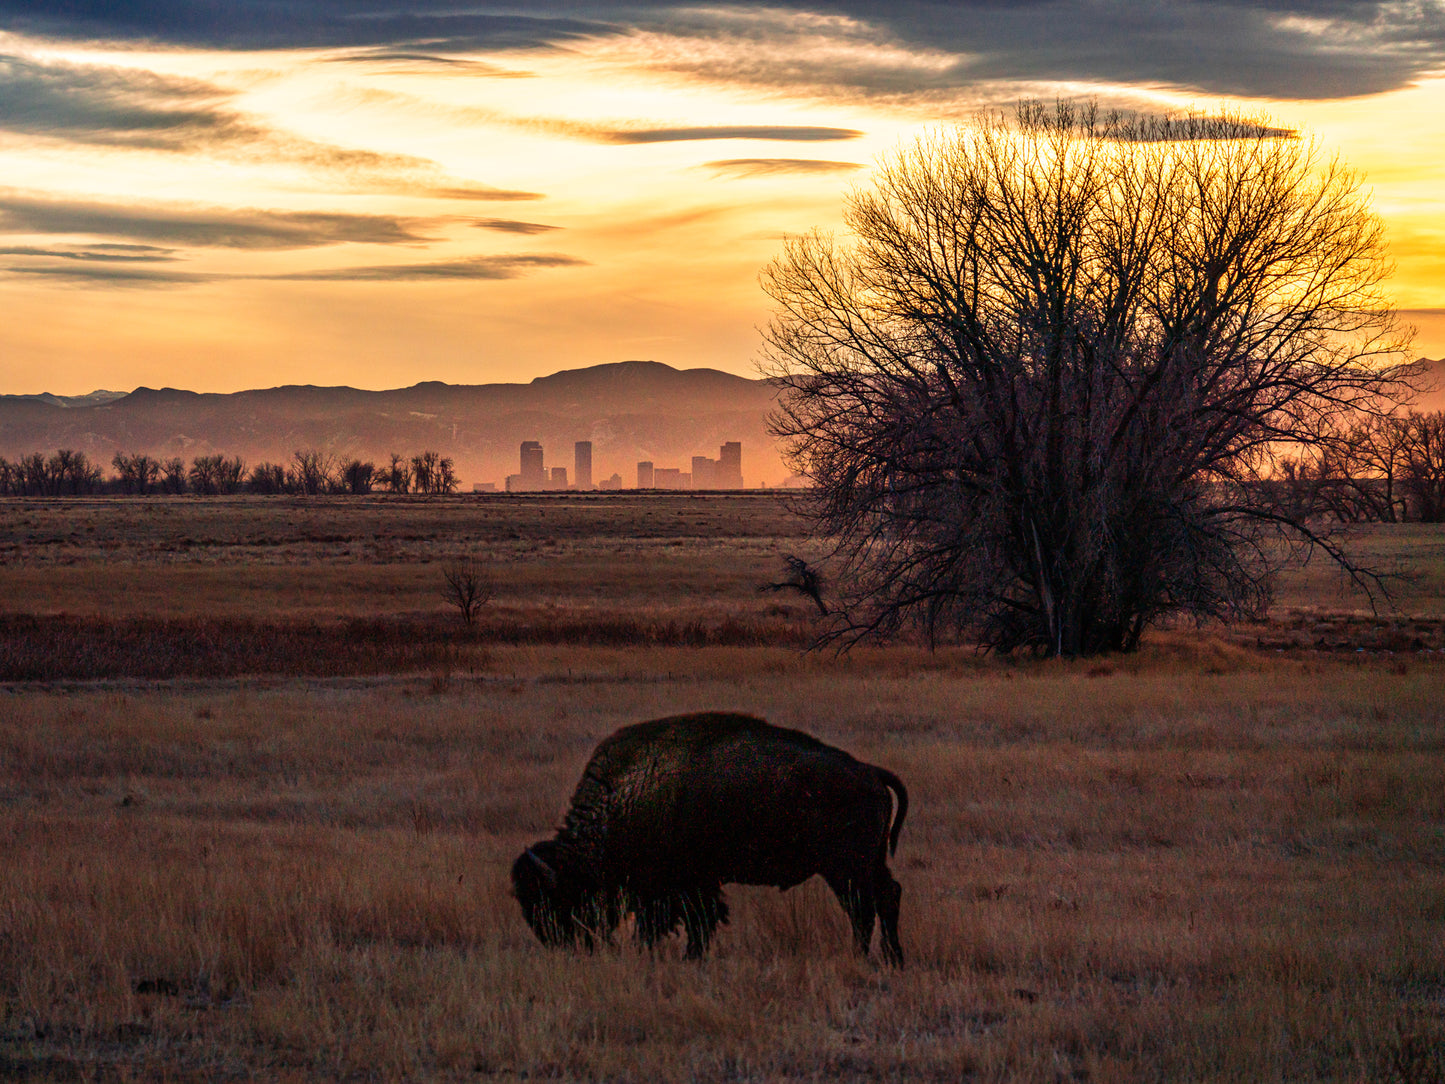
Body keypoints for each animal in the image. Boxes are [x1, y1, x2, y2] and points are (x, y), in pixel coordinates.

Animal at [514, 713, 907, 965]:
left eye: (553, 900)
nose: (557, 943)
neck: (626, 796)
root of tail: (870, 772)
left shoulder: (679, 887)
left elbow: (692, 920)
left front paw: (684, 956)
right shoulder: (690, 886)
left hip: (846, 869)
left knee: (862, 909)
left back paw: (861, 956)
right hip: (868, 864)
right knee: (886, 897)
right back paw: (892, 959)